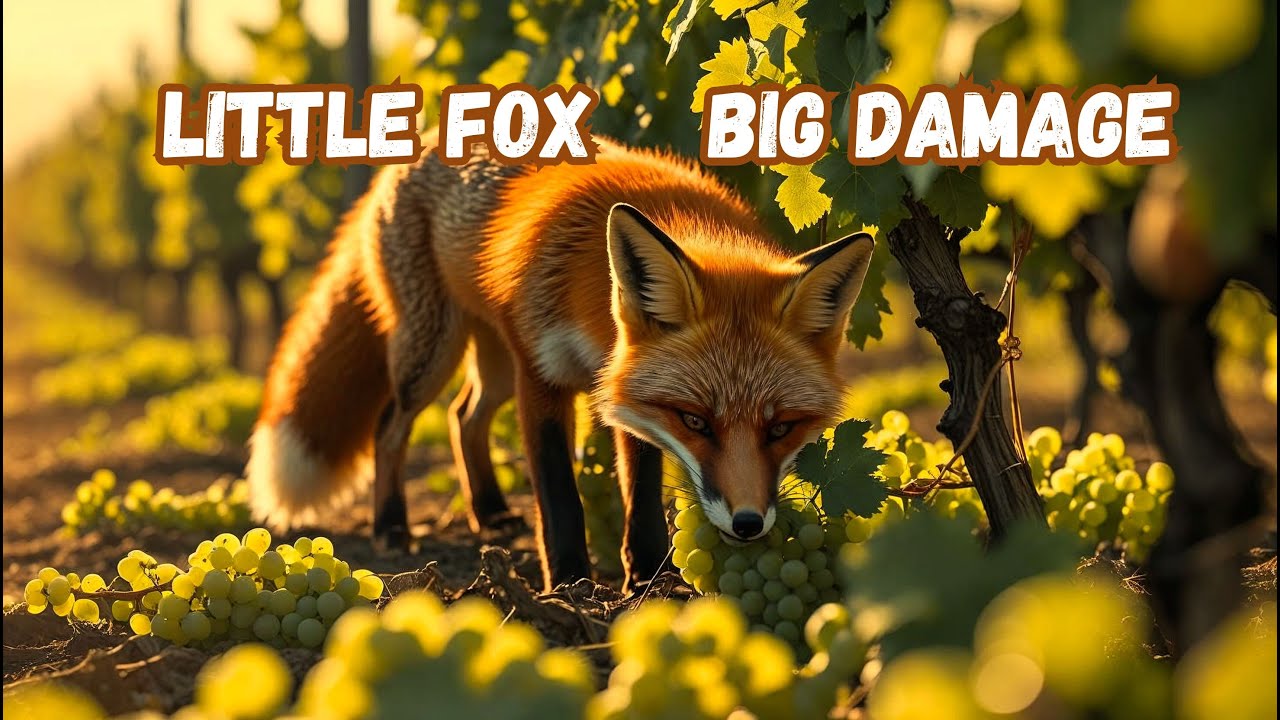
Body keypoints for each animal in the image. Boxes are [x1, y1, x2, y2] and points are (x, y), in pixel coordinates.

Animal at [246, 135, 874, 592]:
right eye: (696, 421)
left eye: (782, 427)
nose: (747, 524)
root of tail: (418, 145)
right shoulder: (541, 374)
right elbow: (558, 492)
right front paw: (572, 584)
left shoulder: (627, 393)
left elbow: (641, 492)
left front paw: (648, 577)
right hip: (432, 353)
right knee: (390, 426)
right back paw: (392, 526)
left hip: (492, 364)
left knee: (463, 416)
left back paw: (490, 512)